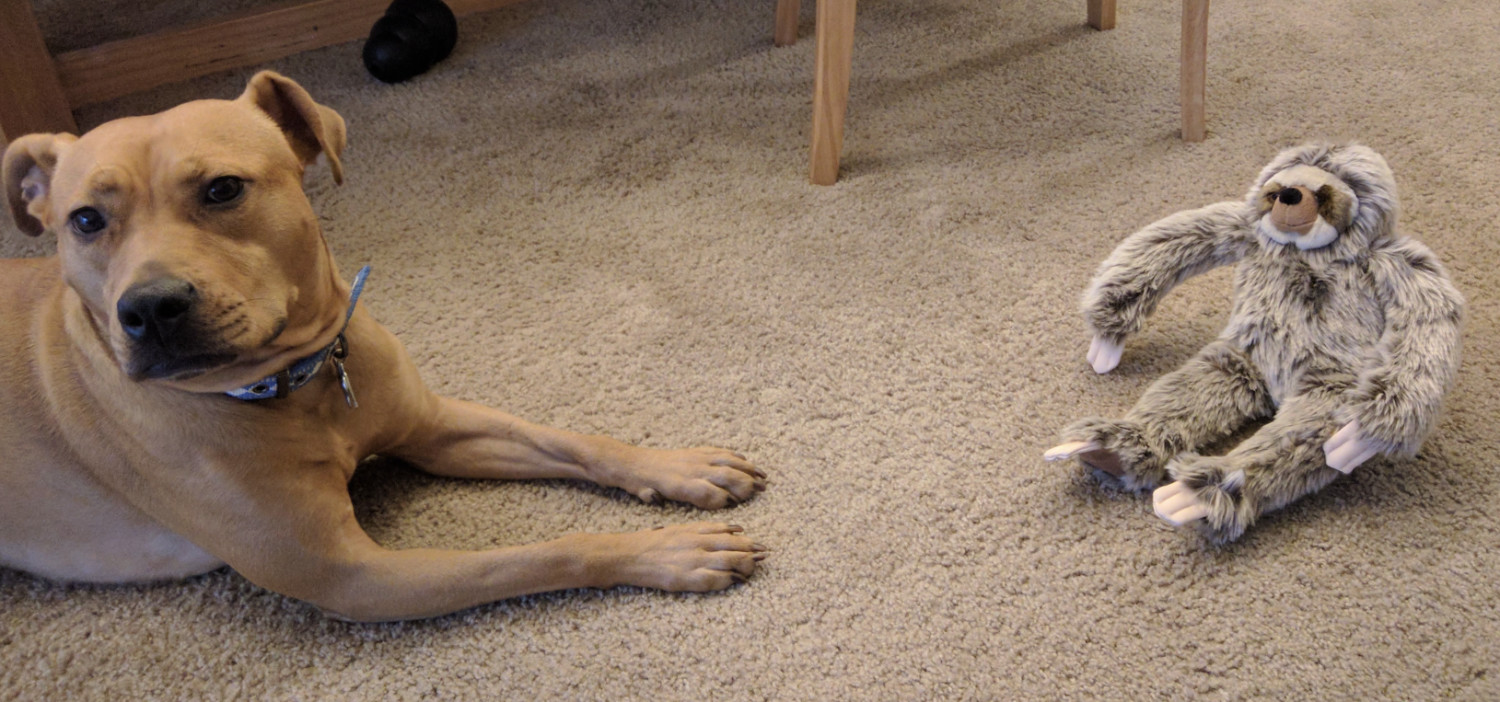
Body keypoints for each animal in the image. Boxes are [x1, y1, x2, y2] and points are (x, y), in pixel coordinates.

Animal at [0, 71, 768, 621]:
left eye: (222, 189)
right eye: (86, 221)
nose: (149, 310)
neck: (301, 383)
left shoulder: (433, 427)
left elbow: (574, 441)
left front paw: (677, 467)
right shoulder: (358, 577)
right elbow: (540, 554)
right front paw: (668, 551)